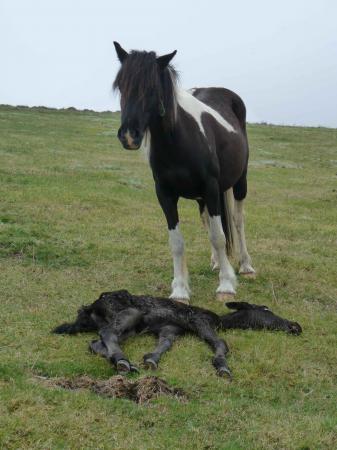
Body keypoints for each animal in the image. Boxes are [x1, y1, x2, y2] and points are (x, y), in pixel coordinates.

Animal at [53, 290, 302, 378]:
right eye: (266, 310)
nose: (295, 326)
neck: (220, 319)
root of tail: (89, 309)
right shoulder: (200, 322)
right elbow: (221, 343)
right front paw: (222, 366)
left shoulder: (171, 329)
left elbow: (165, 345)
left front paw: (150, 359)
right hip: (129, 313)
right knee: (105, 333)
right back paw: (122, 361)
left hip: (129, 327)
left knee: (96, 342)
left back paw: (122, 362)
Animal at [113, 43, 255, 302]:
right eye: (120, 85)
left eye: (152, 87)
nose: (129, 135)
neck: (179, 140)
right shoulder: (165, 194)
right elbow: (177, 242)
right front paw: (179, 289)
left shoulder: (211, 188)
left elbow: (219, 237)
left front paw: (226, 285)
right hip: (205, 197)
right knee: (207, 221)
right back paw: (217, 262)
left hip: (240, 182)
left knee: (238, 220)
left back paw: (245, 265)